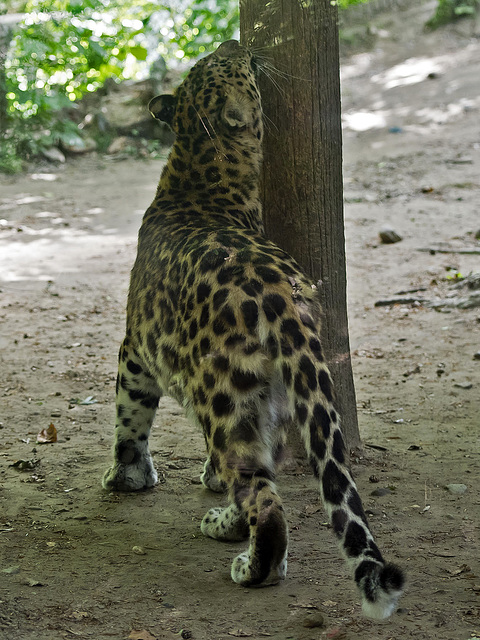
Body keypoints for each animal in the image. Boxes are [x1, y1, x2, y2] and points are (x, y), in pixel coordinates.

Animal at [102, 37, 404, 616]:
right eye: (217, 62)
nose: (235, 41)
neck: (199, 169)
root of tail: (281, 296)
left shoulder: (136, 348)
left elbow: (130, 418)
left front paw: (126, 478)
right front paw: (201, 476)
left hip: (226, 396)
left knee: (263, 499)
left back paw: (243, 552)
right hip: (279, 393)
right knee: (266, 469)